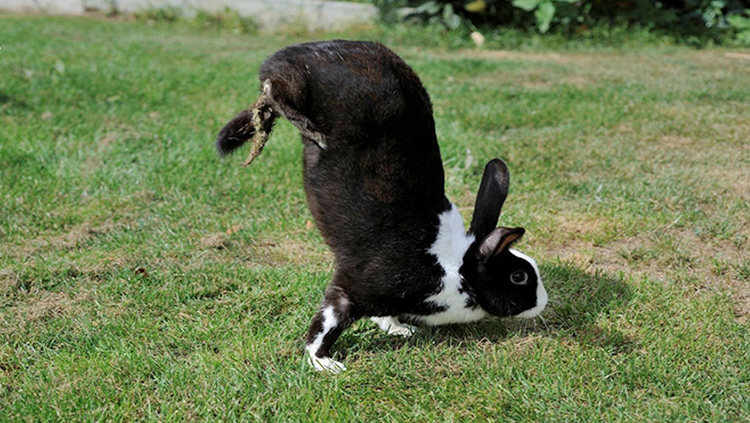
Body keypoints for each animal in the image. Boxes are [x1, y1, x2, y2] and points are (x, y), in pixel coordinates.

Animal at [214, 40, 548, 374]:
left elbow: (382, 315)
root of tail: (295, 51)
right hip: (300, 87)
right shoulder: (351, 290)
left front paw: (399, 329)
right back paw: (307, 129)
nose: (543, 303)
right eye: (518, 277)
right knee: (275, 91)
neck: (457, 267)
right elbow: (327, 324)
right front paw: (324, 363)